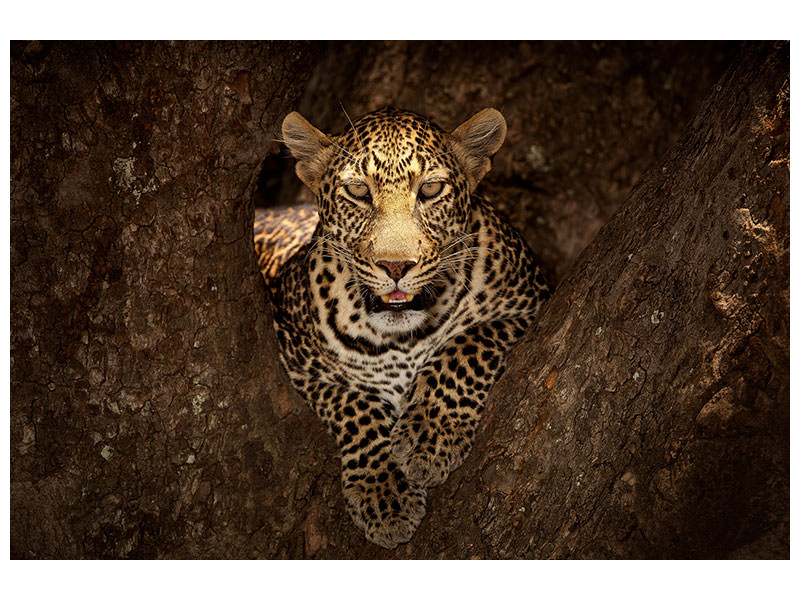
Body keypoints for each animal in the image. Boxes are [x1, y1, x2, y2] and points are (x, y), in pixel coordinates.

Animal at [255, 106, 552, 548]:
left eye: (430, 190)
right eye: (358, 192)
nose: (396, 267)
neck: (401, 339)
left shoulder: (530, 304)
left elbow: (465, 346)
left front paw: (430, 435)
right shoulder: (297, 362)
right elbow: (354, 405)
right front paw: (384, 492)